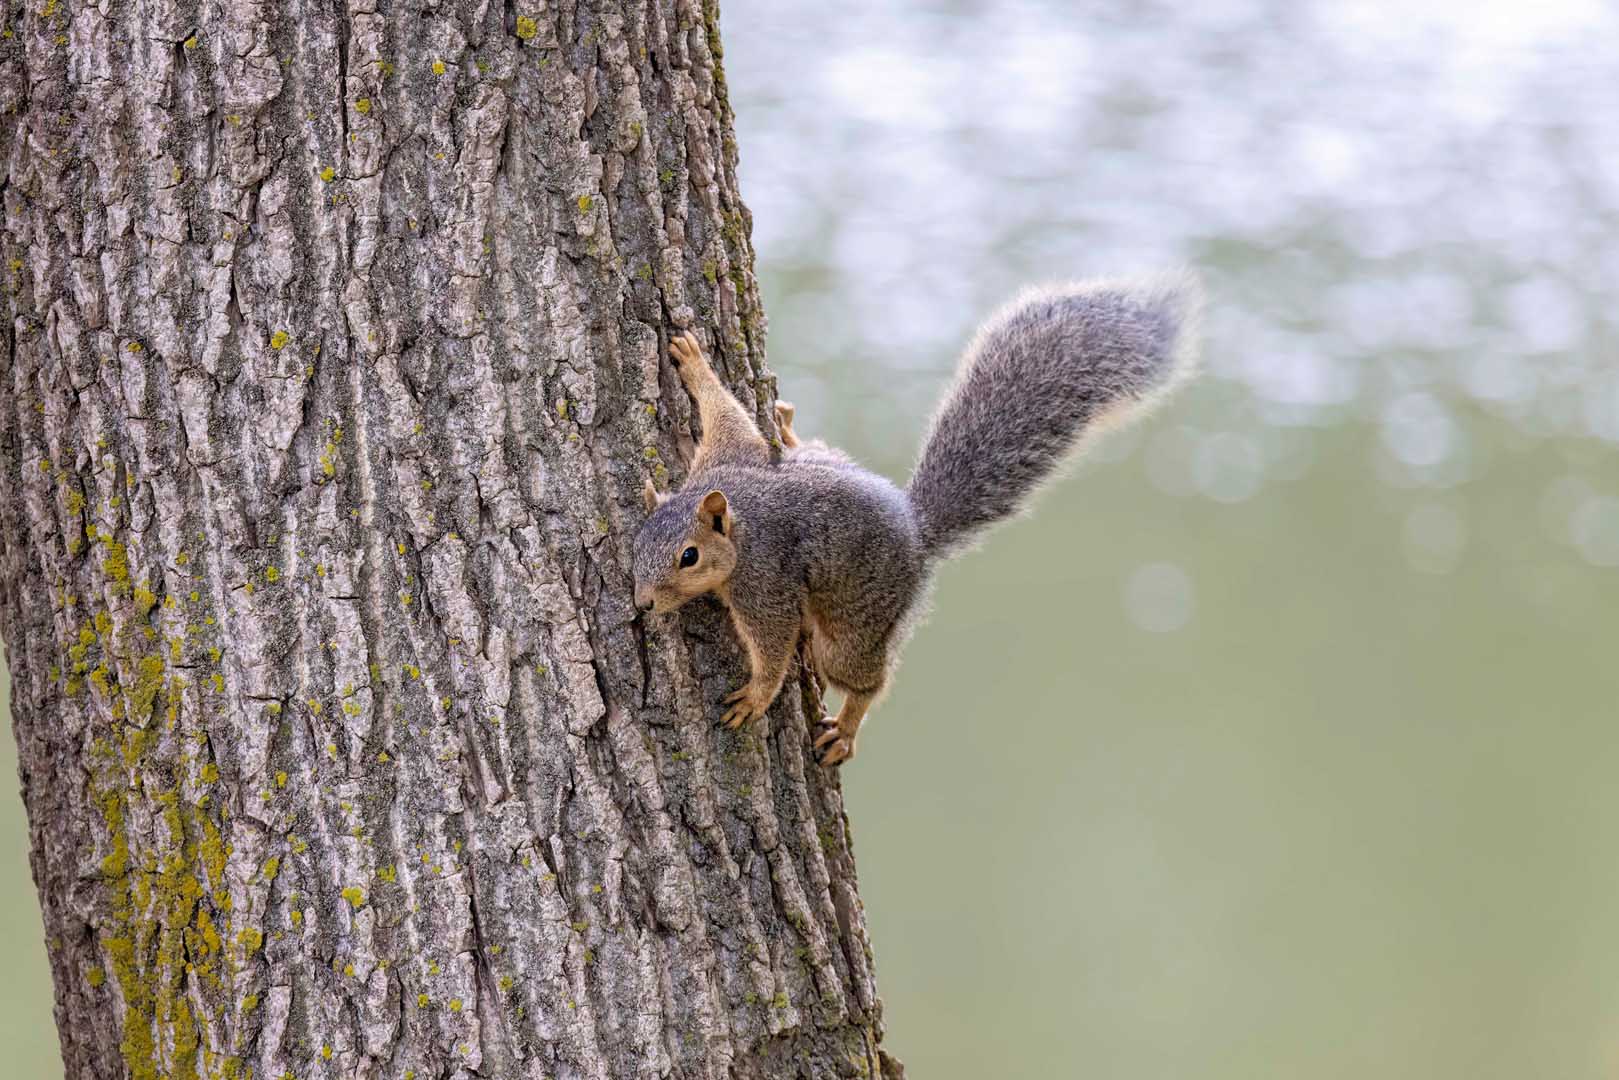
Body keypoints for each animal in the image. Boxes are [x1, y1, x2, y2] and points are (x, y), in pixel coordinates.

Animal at [633, 273, 1201, 765]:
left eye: (689, 557)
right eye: (636, 543)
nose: (642, 603)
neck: (742, 515)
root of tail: (918, 535)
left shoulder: (764, 580)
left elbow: (772, 647)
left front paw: (755, 696)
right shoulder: (727, 459)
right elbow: (732, 416)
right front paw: (694, 364)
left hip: (859, 617)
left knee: (865, 677)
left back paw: (847, 729)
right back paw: (791, 428)